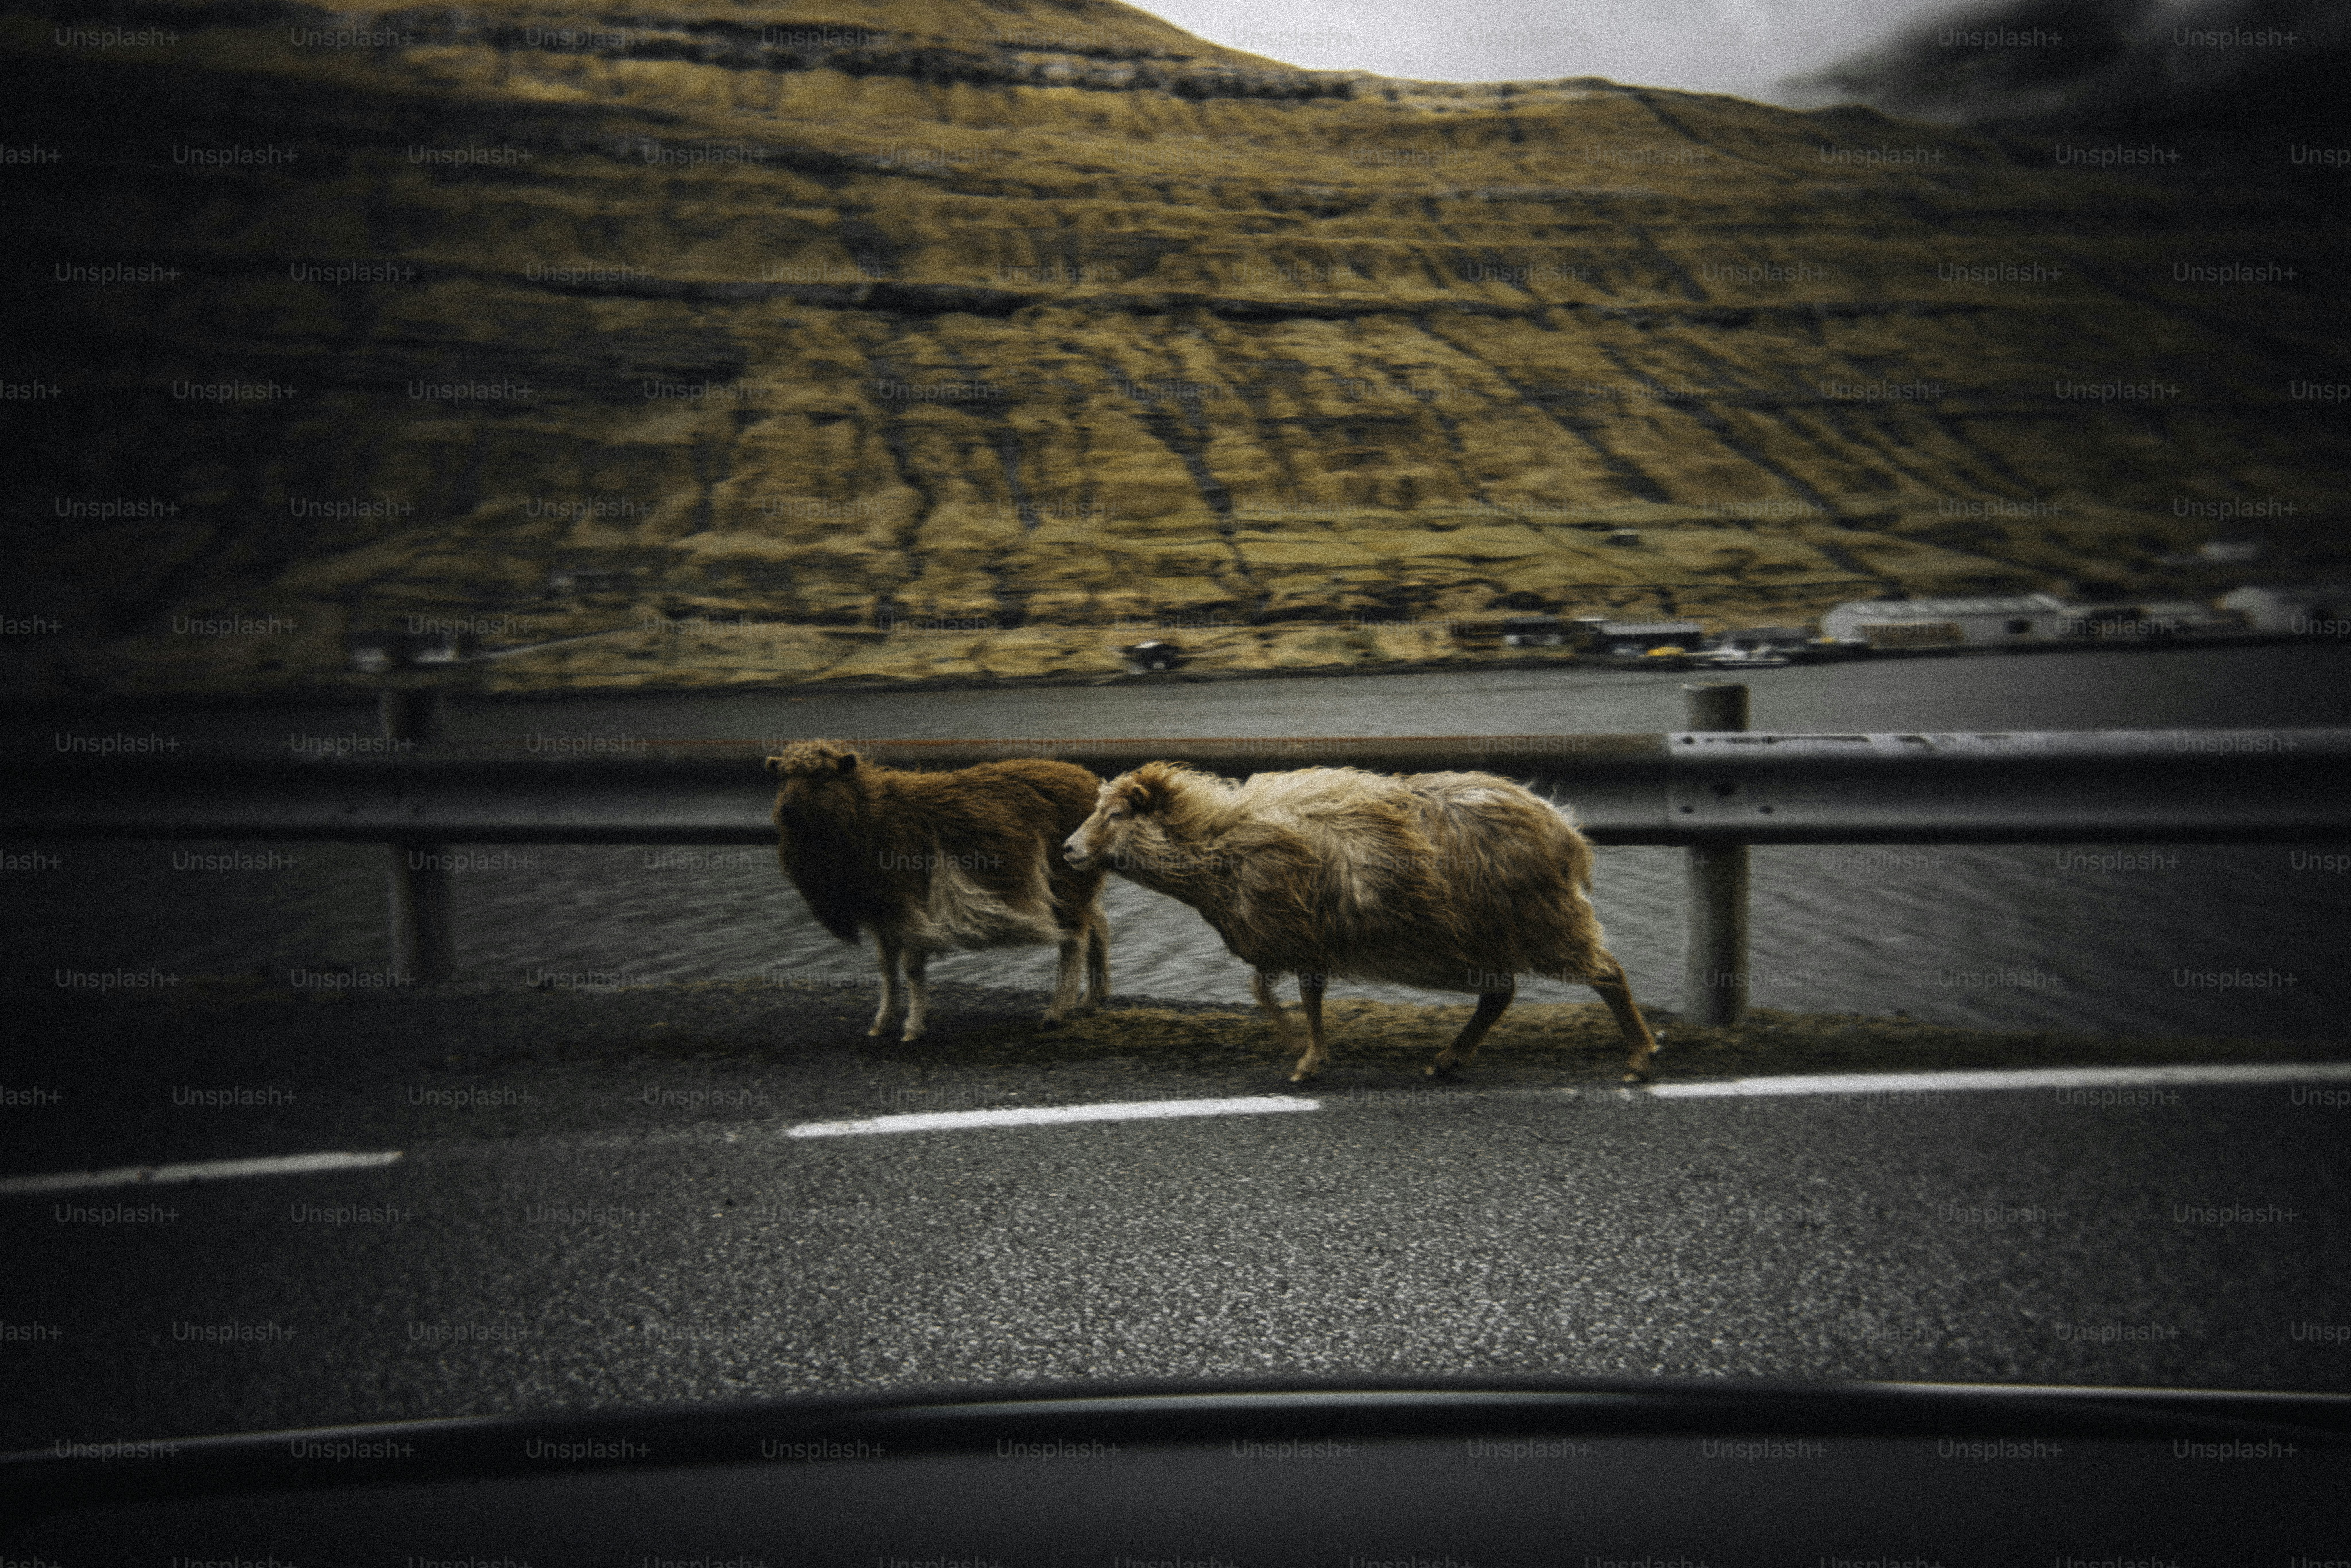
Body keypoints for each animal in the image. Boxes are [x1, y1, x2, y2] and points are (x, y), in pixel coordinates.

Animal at [768, 741, 1110, 1040]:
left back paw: (1056, 1014)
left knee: (1074, 940)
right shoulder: (883, 908)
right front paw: (883, 1022)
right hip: (1077, 883)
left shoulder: (910, 903)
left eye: (824, 777)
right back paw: (1093, 999)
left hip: (1067, 881)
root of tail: (1086, 779)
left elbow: (911, 967)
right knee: (1098, 926)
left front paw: (913, 1026)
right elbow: (886, 967)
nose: (787, 810)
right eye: (783, 778)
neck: (868, 812)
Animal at [1062, 762, 1658, 1082]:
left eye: (1115, 814)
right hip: (1490, 931)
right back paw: (1449, 1059)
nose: (1067, 848)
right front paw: (1309, 1052)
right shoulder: (1303, 939)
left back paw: (1638, 1054)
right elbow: (1293, 993)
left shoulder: (1290, 930)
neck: (1215, 841)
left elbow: (1269, 992)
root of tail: (1561, 826)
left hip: (1542, 920)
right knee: (1500, 994)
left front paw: (1298, 1051)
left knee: (1606, 974)